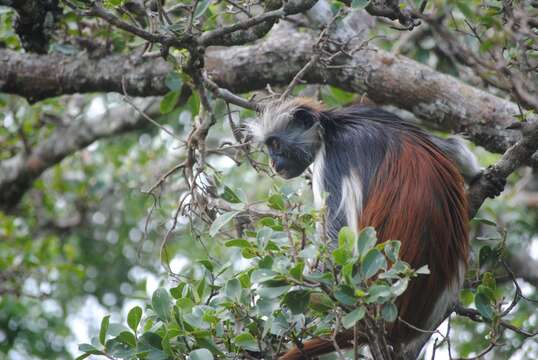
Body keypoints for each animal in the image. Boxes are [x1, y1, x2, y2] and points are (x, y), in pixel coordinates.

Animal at [249, 97, 484, 358]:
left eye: (275, 144)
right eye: (269, 147)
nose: (273, 162)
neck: (332, 126)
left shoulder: (332, 161)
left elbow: (337, 248)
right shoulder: (373, 111)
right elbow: (451, 146)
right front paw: (479, 176)